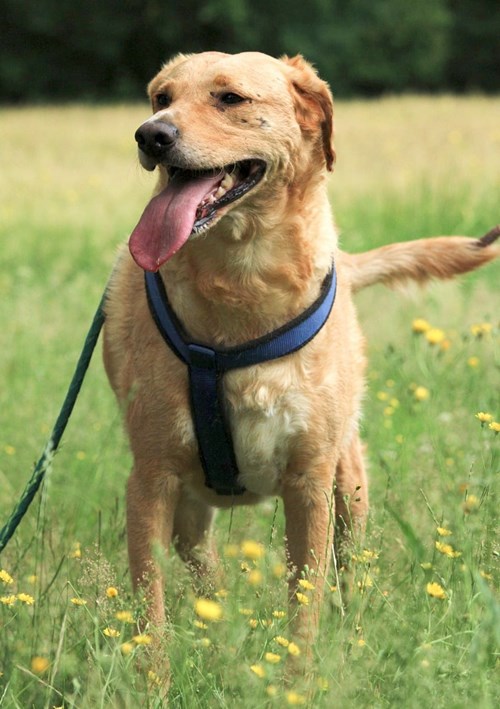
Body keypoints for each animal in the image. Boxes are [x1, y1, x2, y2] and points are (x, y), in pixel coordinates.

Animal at [103, 51, 499, 661]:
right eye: (161, 97)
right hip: (190, 508)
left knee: (350, 570)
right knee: (204, 568)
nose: (151, 135)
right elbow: (151, 617)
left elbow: (304, 609)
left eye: (230, 98)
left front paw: (300, 674)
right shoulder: (150, 482)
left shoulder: (309, 481)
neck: (242, 280)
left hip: (349, 483)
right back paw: (219, 633)